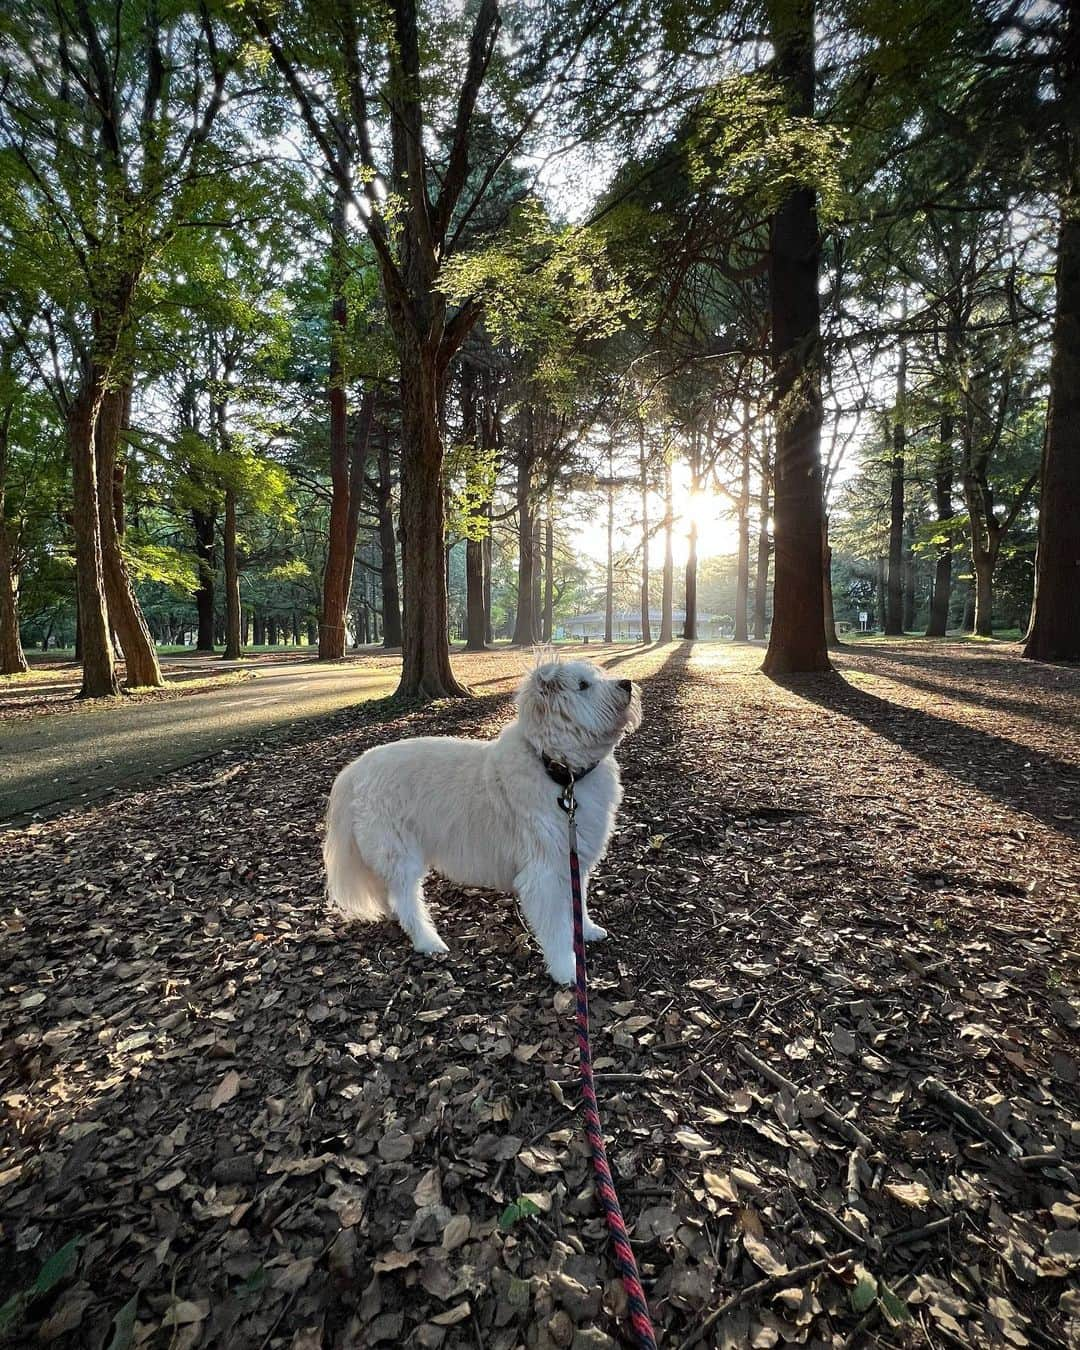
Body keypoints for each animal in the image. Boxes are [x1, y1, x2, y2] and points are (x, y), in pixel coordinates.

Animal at [321, 656, 642, 982]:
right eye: (583, 685)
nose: (627, 683)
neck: (559, 772)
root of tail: (354, 770)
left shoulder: (573, 859)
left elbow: (579, 902)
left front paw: (586, 929)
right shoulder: (545, 874)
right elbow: (557, 929)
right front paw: (568, 969)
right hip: (400, 854)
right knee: (406, 901)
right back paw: (428, 942)